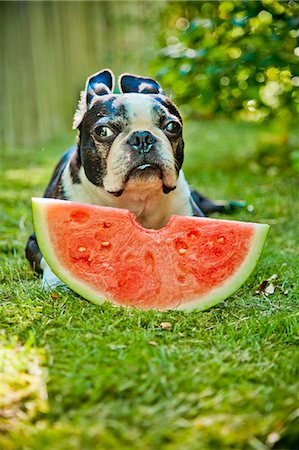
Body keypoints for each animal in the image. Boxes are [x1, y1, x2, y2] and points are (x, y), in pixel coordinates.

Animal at [26, 71, 241, 288]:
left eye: (172, 126)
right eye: (103, 131)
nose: (142, 137)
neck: (136, 199)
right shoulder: (35, 240)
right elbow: (45, 255)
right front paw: (56, 278)